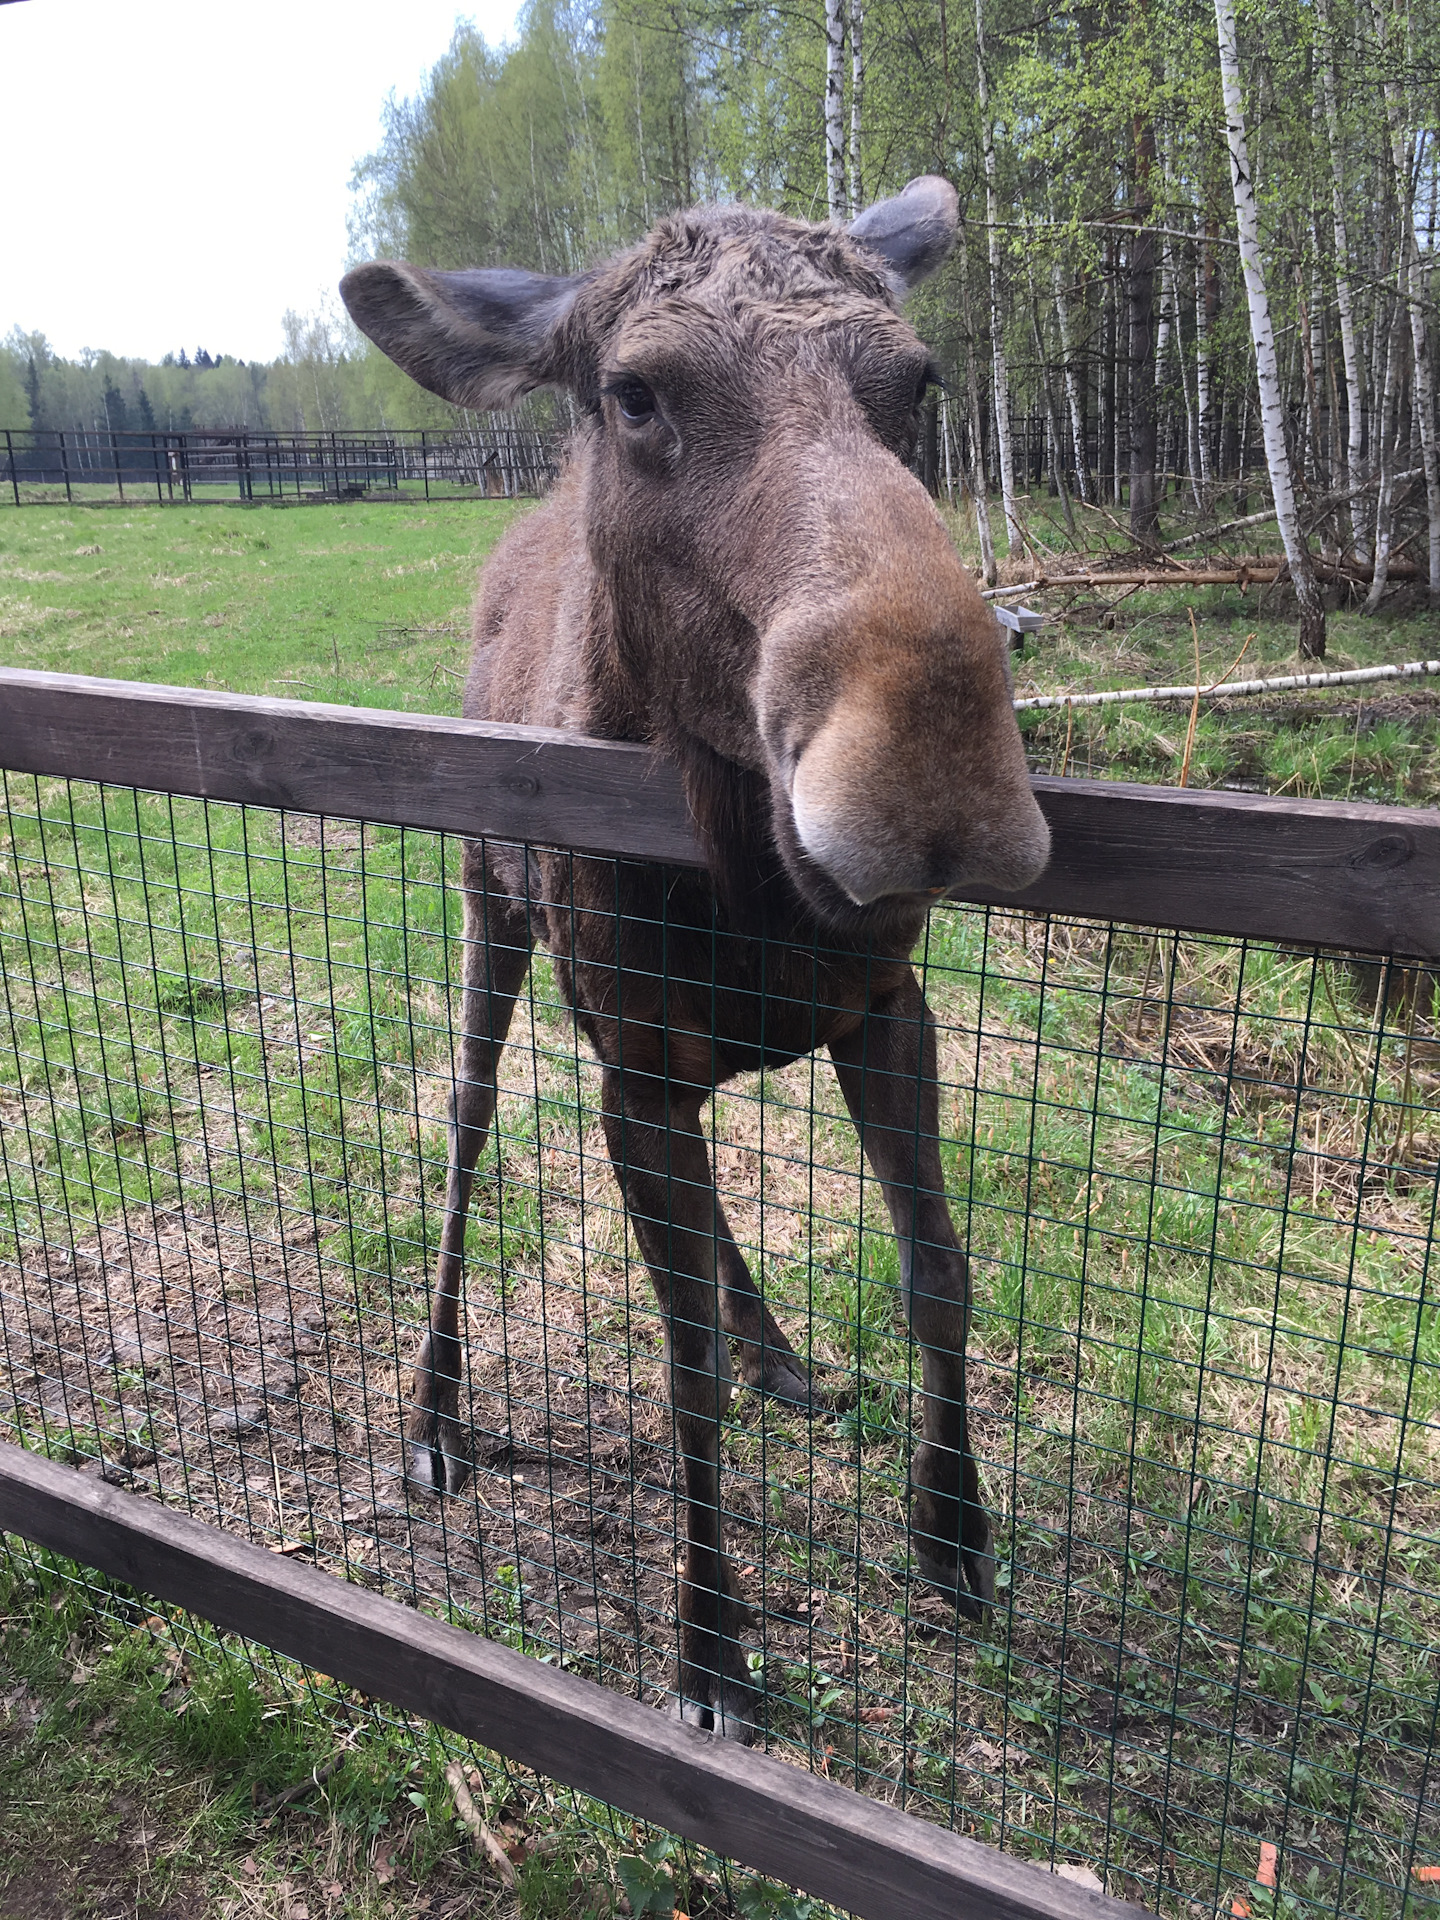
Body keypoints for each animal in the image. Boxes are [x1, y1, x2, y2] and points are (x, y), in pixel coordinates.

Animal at [343, 176, 1052, 1743]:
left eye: (919, 381)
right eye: (635, 394)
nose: (933, 783)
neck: (747, 899)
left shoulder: (884, 1005)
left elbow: (941, 1276)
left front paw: (954, 1537)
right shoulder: (637, 1070)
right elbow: (687, 1382)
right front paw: (710, 1654)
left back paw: (780, 1345)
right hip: (490, 909)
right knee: (465, 1128)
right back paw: (432, 1416)